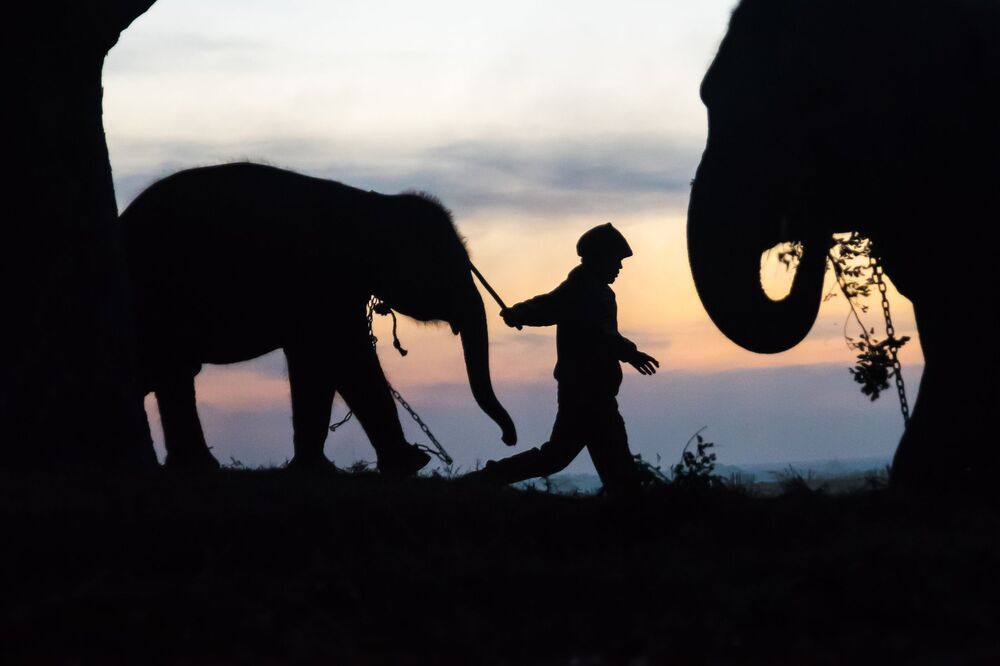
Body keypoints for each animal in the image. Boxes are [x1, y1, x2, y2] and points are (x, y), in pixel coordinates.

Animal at [120, 162, 517, 473]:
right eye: (446, 266)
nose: (507, 439)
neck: (373, 204)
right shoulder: (324, 280)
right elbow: (345, 356)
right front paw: (412, 464)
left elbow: (316, 363)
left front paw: (318, 469)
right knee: (170, 370)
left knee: (172, 373)